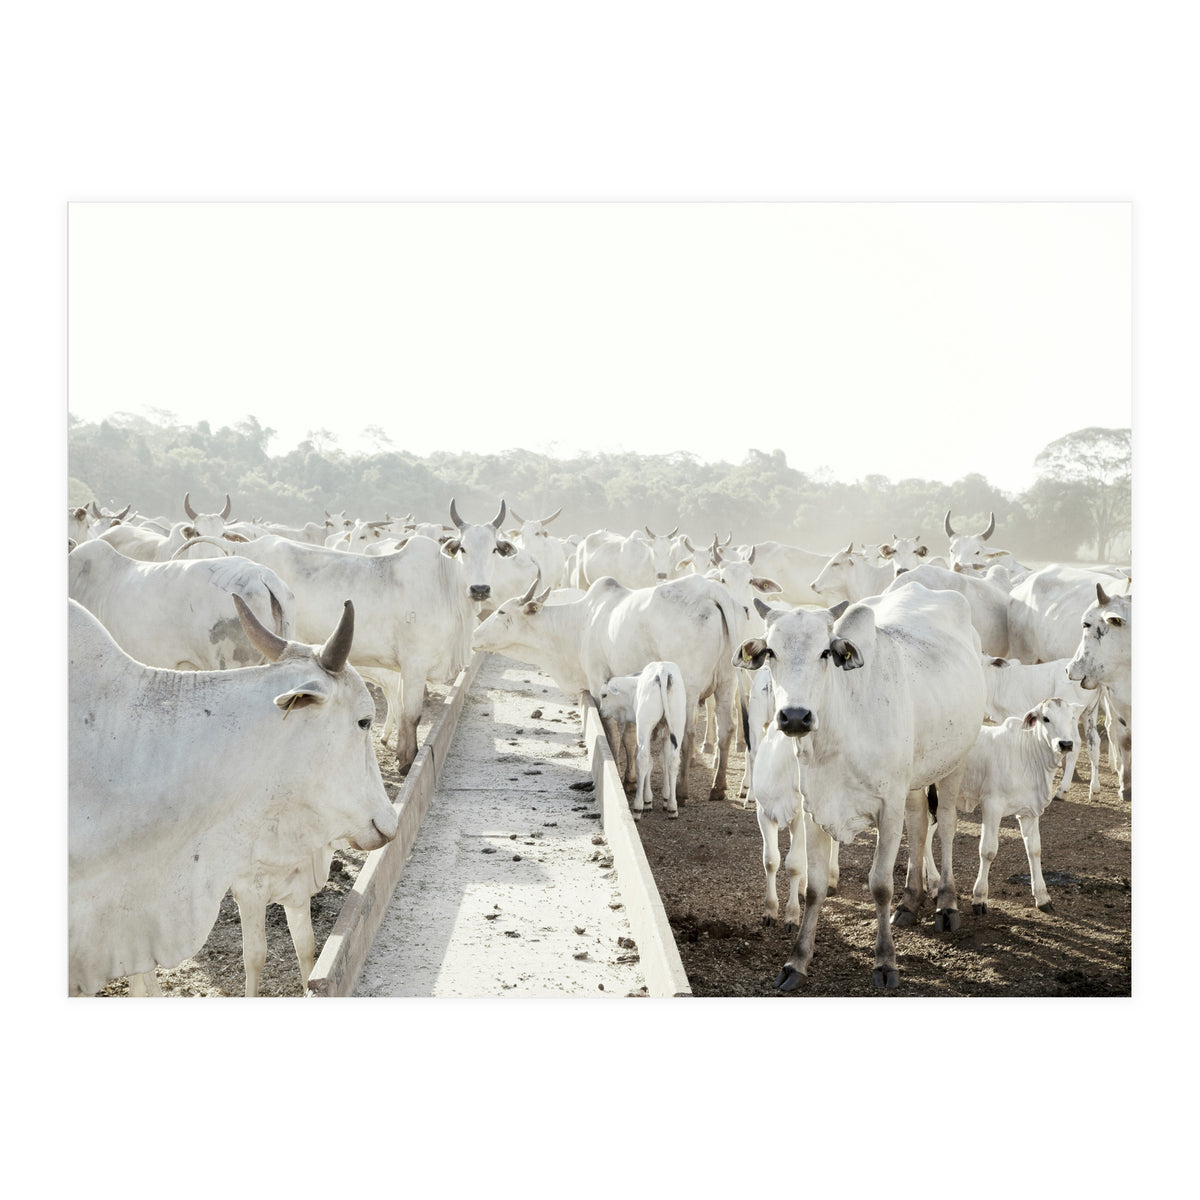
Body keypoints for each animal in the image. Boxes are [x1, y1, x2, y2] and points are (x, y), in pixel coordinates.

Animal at [473, 572, 741, 801]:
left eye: (501, 611)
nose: (475, 636)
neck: (581, 623)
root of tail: (709, 590)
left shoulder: (598, 684)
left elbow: (612, 734)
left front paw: (618, 774)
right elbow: (630, 738)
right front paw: (631, 779)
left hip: (689, 688)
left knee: (688, 733)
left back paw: (682, 790)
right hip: (727, 682)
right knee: (726, 729)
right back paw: (718, 787)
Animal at [597, 662, 688, 819]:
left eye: (604, 695)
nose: (600, 711)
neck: (634, 688)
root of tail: (662, 671)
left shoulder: (646, 732)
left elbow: (649, 762)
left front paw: (647, 801)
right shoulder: (666, 734)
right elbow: (663, 760)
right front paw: (665, 798)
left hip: (645, 727)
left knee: (643, 759)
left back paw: (637, 807)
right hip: (677, 725)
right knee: (674, 761)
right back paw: (673, 807)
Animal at [736, 583, 986, 989]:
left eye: (825, 651)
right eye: (771, 651)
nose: (794, 717)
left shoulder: (888, 807)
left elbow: (880, 884)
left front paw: (885, 962)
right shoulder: (815, 809)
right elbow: (814, 886)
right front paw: (796, 961)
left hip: (955, 761)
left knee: (946, 824)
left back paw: (946, 904)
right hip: (912, 781)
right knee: (919, 825)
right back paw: (910, 901)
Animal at [958, 697, 1085, 914]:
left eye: (1072, 717)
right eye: (1046, 718)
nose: (1066, 744)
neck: (1027, 756)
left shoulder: (1029, 812)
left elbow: (1034, 850)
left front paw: (1042, 897)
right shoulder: (991, 805)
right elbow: (988, 850)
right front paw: (979, 897)